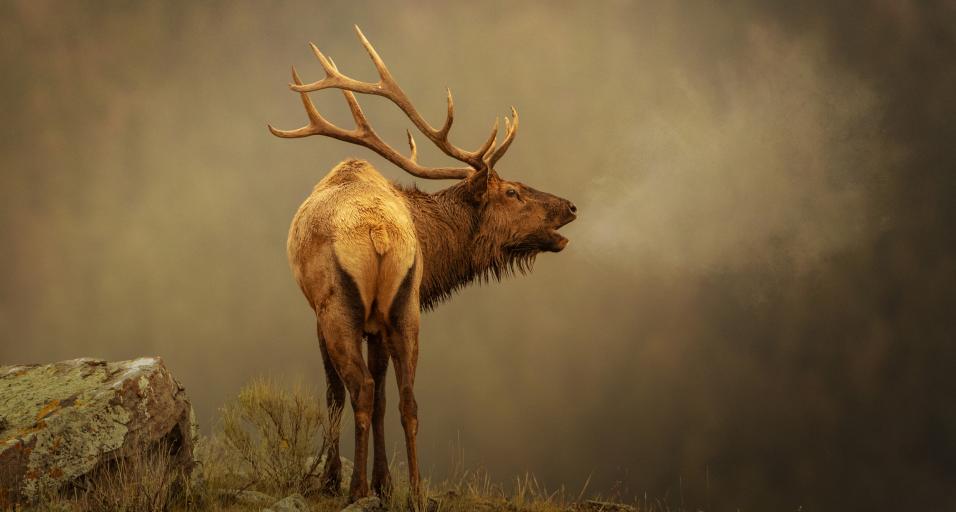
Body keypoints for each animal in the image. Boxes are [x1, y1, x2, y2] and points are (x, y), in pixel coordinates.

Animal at [268, 26, 577, 503]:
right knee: (406, 398)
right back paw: (411, 491)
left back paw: (355, 489)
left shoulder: (321, 316)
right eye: (512, 192)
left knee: (360, 389)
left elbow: (335, 393)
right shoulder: (381, 320)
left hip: (338, 309)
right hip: (403, 309)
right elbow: (382, 399)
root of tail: (377, 233)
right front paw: (384, 482)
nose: (570, 206)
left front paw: (336, 479)